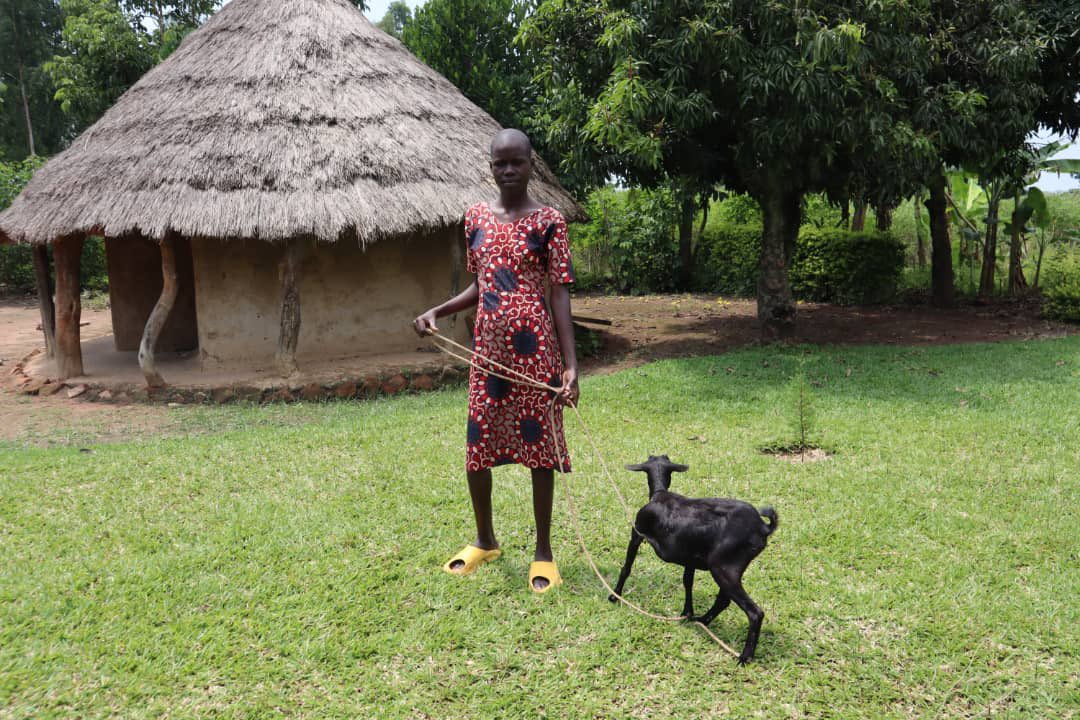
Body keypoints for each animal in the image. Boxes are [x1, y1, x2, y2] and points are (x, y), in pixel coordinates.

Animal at [609, 455, 778, 664]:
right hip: (730, 567)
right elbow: (687, 581)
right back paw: (701, 621)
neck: (660, 494)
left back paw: (744, 657)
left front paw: (614, 595)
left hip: (722, 566)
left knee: (754, 612)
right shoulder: (689, 557)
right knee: (724, 600)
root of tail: (763, 528)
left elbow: (627, 567)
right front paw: (687, 613)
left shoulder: (637, 532)